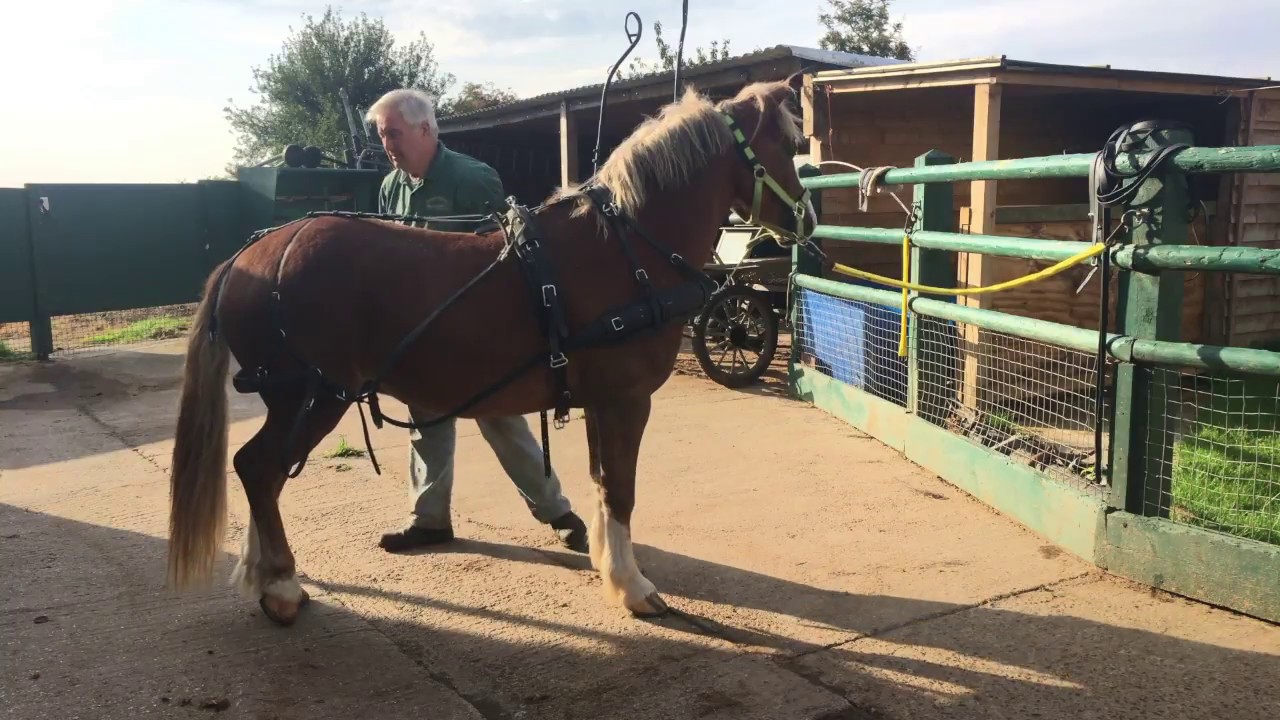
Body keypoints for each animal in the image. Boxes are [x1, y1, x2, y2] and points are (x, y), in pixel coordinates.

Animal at [165, 74, 816, 627]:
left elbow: (603, 484)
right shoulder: (626, 400)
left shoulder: (601, 402)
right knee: (259, 469)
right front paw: (633, 587)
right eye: (787, 144)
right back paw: (280, 585)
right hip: (311, 396)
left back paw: (264, 573)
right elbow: (621, 489)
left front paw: (604, 562)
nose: (807, 219)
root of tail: (247, 257)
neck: (625, 247)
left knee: (265, 475)